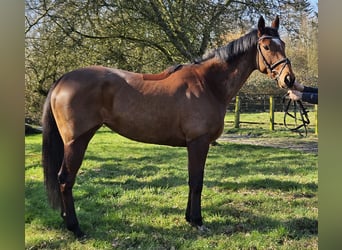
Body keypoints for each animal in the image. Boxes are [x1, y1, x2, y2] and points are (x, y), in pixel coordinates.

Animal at [42, 14, 294, 237]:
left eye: (283, 44)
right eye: (267, 46)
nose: (289, 79)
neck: (208, 84)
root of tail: (63, 80)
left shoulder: (195, 144)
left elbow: (193, 179)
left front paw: (189, 218)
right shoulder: (198, 142)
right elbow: (197, 181)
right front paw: (198, 222)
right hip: (77, 141)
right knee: (65, 179)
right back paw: (75, 228)